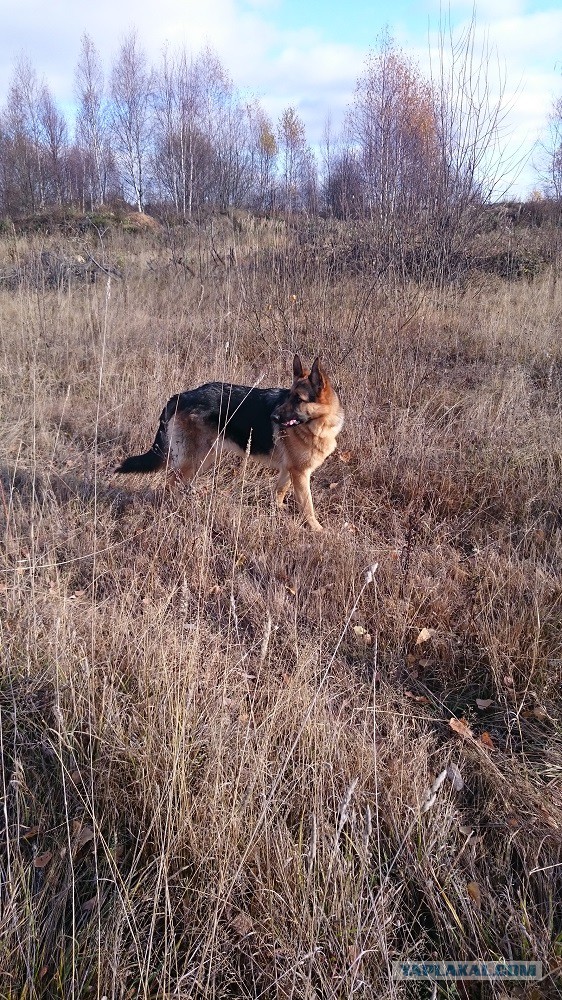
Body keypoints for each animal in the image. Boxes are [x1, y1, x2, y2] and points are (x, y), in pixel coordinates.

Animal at [114, 358, 342, 532]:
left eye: (298, 399)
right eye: (289, 397)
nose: (273, 417)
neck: (320, 423)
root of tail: (181, 396)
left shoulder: (290, 470)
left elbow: (280, 491)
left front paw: (277, 511)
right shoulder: (301, 474)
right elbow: (307, 506)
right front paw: (317, 530)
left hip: (204, 459)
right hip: (195, 460)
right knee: (169, 484)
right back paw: (172, 509)